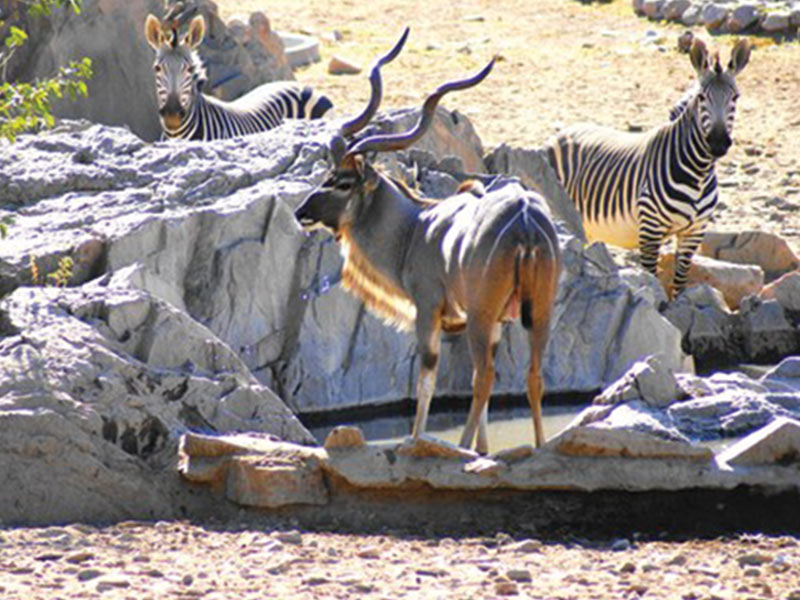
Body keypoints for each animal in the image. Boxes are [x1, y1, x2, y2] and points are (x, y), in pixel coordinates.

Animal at [544, 38, 751, 297]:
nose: (718, 142)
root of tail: (564, 131)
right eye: (702, 97)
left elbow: (680, 281)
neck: (699, 173)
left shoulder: (694, 232)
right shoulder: (651, 228)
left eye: (736, 98)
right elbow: (652, 278)